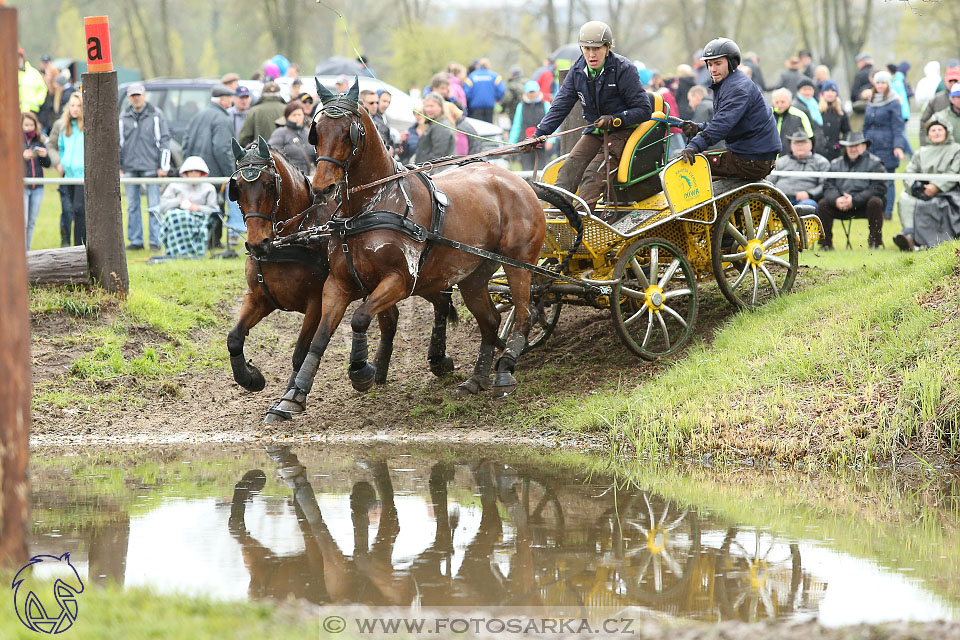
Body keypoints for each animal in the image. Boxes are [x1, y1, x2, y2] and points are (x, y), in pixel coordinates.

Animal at [231, 138, 460, 418]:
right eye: (237, 188)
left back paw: (438, 359)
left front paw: (288, 399)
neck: (292, 239)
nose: (257, 244)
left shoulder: (315, 303)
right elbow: (234, 338)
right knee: (391, 319)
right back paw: (379, 369)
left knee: (442, 302)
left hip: (424, 279)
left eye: (269, 185)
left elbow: (300, 352)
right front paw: (251, 378)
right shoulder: (258, 298)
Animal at [262, 77, 548, 422]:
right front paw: (292, 397)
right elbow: (320, 337)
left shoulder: (400, 280)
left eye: (347, 132)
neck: (369, 207)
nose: (322, 188)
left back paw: (504, 371)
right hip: (474, 275)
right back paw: (476, 379)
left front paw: (361, 371)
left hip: (519, 264)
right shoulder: (338, 283)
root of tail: (517, 181)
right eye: (316, 131)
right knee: (491, 321)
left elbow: (360, 318)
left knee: (523, 315)